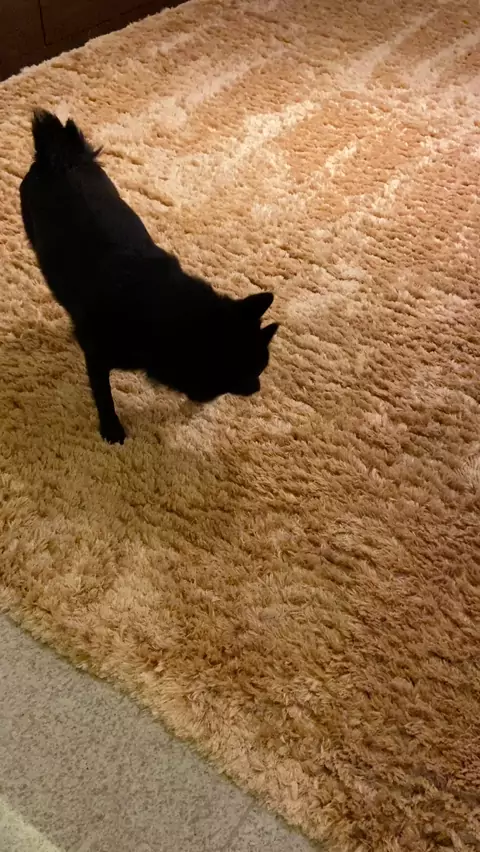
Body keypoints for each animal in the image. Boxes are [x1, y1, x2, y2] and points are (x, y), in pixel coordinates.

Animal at [19, 110, 278, 444]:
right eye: (250, 372)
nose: (258, 388)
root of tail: (60, 157)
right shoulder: (98, 357)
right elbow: (103, 395)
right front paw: (112, 430)